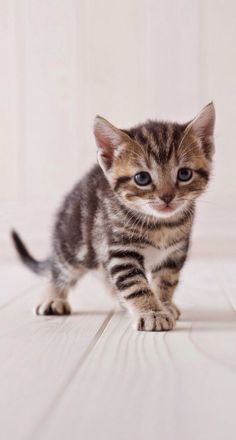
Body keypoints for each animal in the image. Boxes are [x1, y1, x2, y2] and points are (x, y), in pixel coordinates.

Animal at [12, 103, 216, 330]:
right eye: (142, 178)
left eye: (184, 174)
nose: (166, 197)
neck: (160, 225)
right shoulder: (121, 250)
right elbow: (135, 284)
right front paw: (152, 313)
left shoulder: (174, 252)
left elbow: (166, 280)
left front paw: (164, 304)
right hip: (73, 242)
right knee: (59, 270)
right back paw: (52, 297)